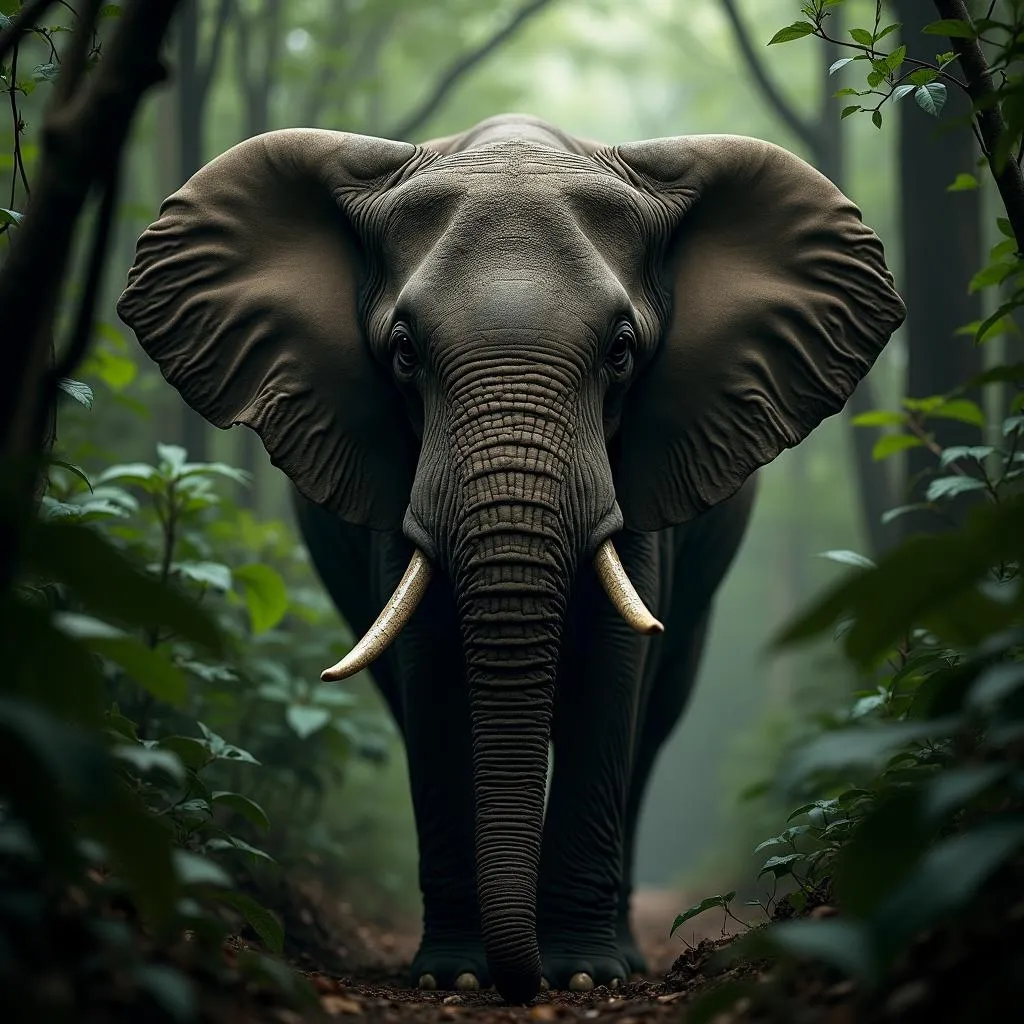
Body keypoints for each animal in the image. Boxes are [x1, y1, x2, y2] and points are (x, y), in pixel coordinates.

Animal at [116, 112, 909, 999]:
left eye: (622, 351)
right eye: (403, 353)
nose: (518, 982)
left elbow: (612, 666)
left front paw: (584, 977)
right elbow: (430, 674)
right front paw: (453, 979)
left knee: (653, 723)